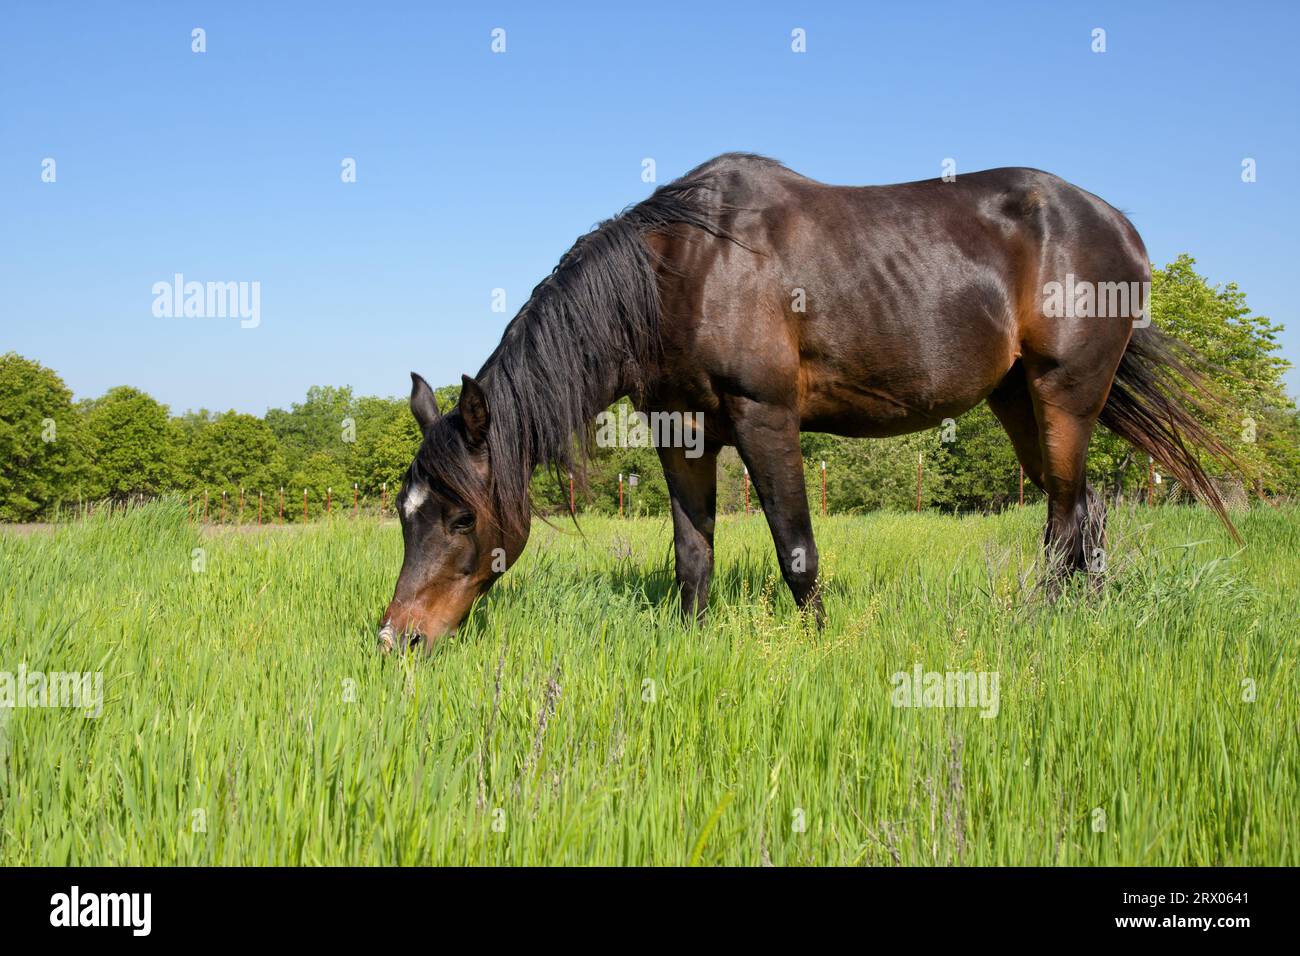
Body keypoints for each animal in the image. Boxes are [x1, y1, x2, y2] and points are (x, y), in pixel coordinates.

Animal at [377, 153, 1237, 651]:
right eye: (403, 515)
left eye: (461, 517)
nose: (395, 640)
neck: (686, 268)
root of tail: (1120, 229)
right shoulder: (681, 432)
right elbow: (692, 555)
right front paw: (693, 650)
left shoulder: (766, 417)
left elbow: (797, 551)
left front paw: (818, 648)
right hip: (1017, 400)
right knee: (1084, 512)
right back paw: (1086, 620)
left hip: (1065, 396)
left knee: (1063, 521)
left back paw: (1040, 625)